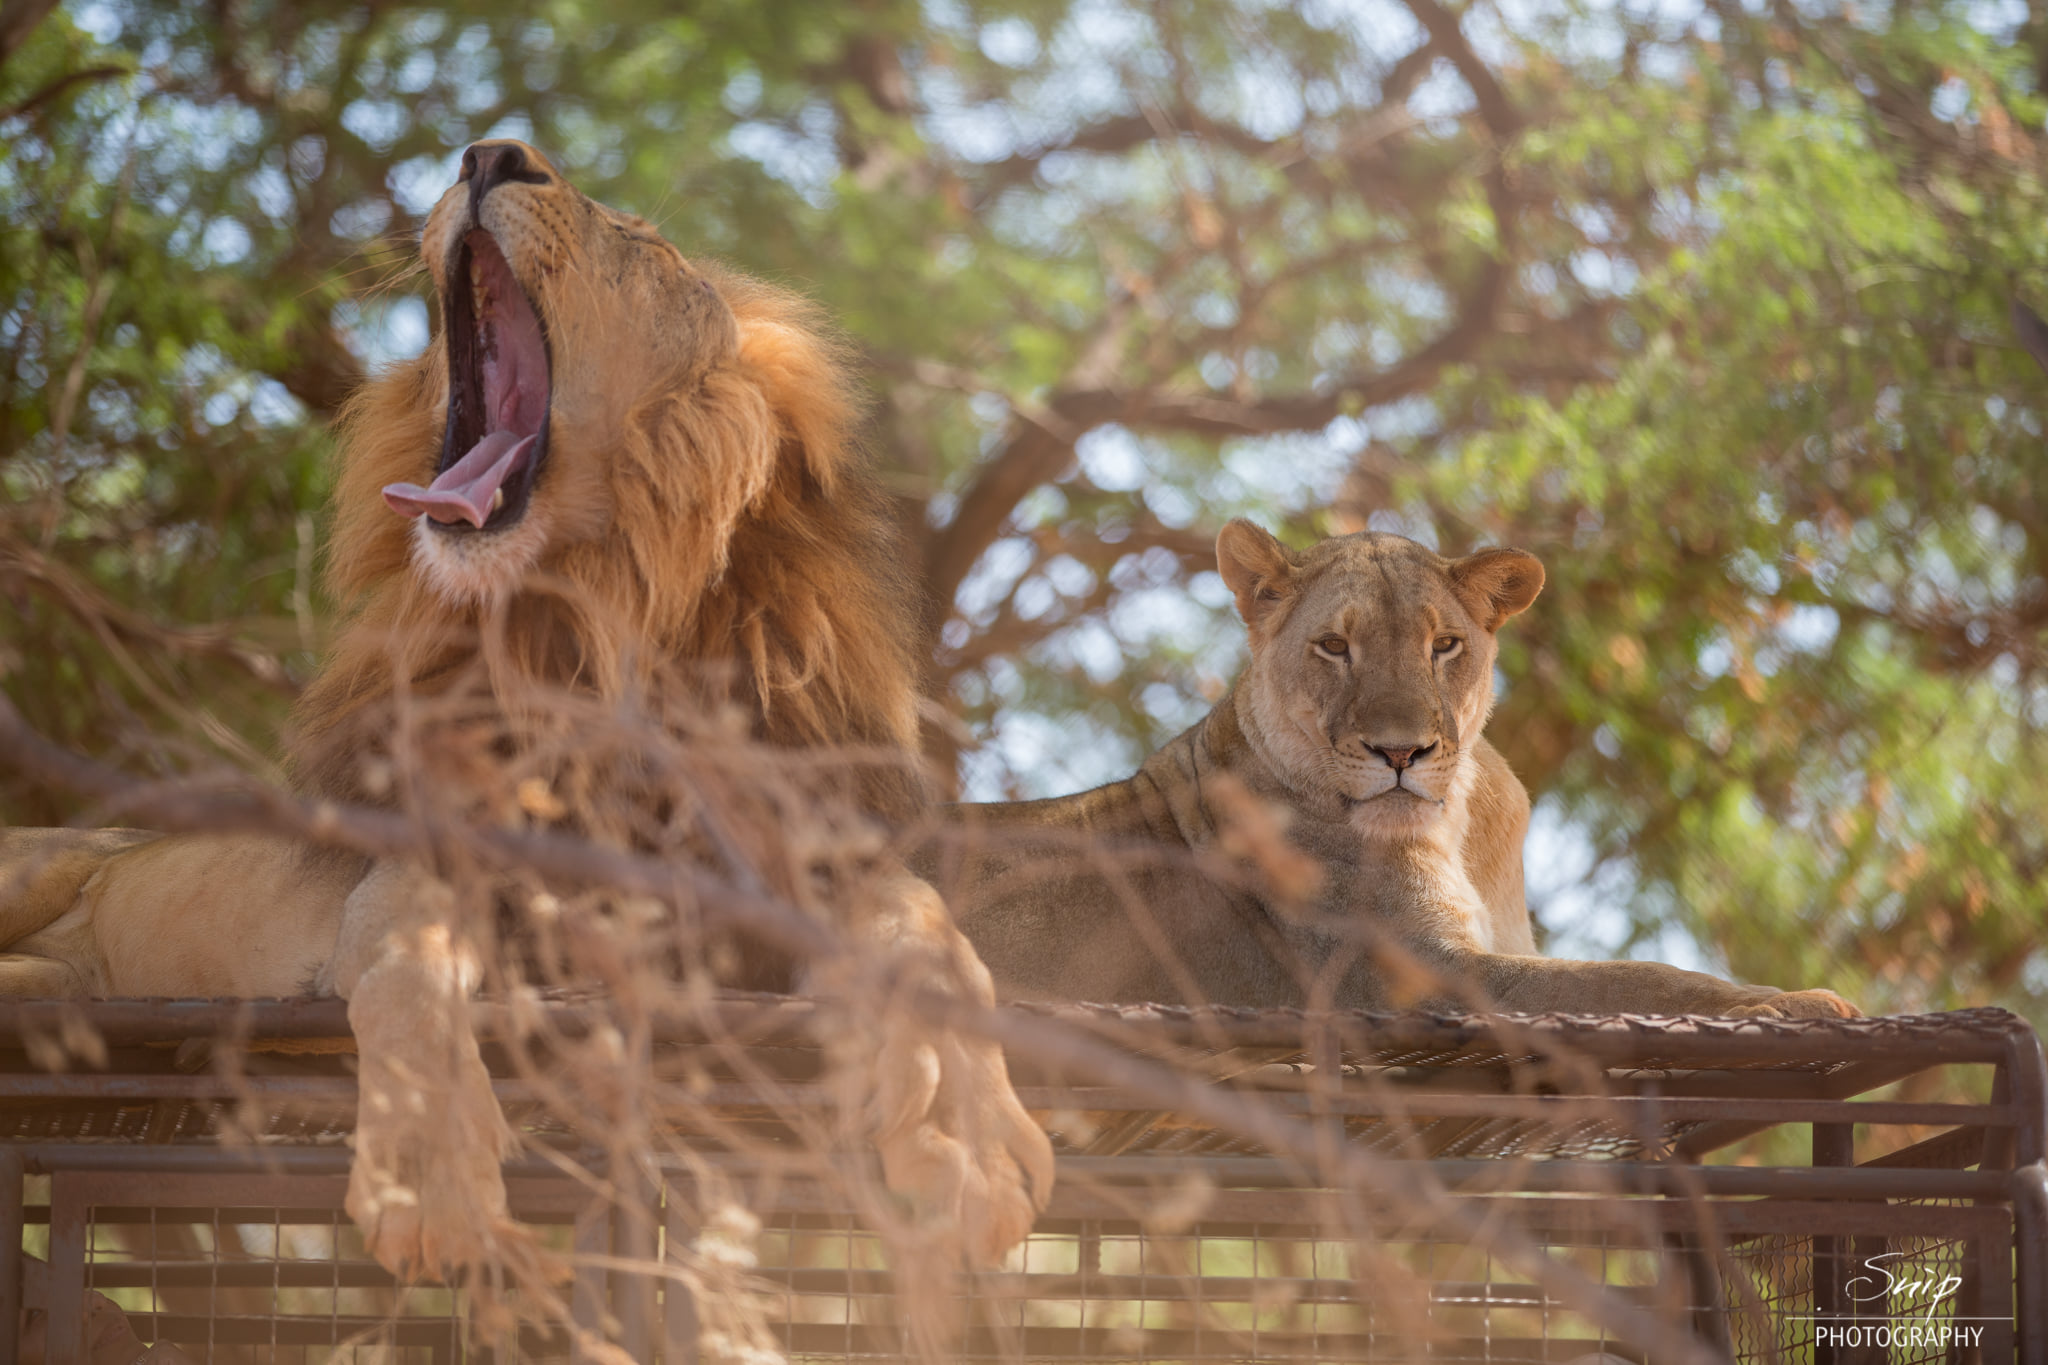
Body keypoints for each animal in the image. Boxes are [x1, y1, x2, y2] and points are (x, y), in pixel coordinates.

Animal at [0, 139, 1052, 1281]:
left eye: (642, 244)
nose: (490, 152)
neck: (588, 631)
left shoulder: (798, 863)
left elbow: (929, 938)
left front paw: (967, 1141)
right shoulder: (420, 864)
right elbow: (408, 971)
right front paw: (430, 1180)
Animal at [920, 520, 1856, 1019]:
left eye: (1444, 644)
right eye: (1335, 646)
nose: (1400, 752)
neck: (1463, 815)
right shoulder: (1426, 975)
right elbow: (1632, 978)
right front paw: (1793, 1001)